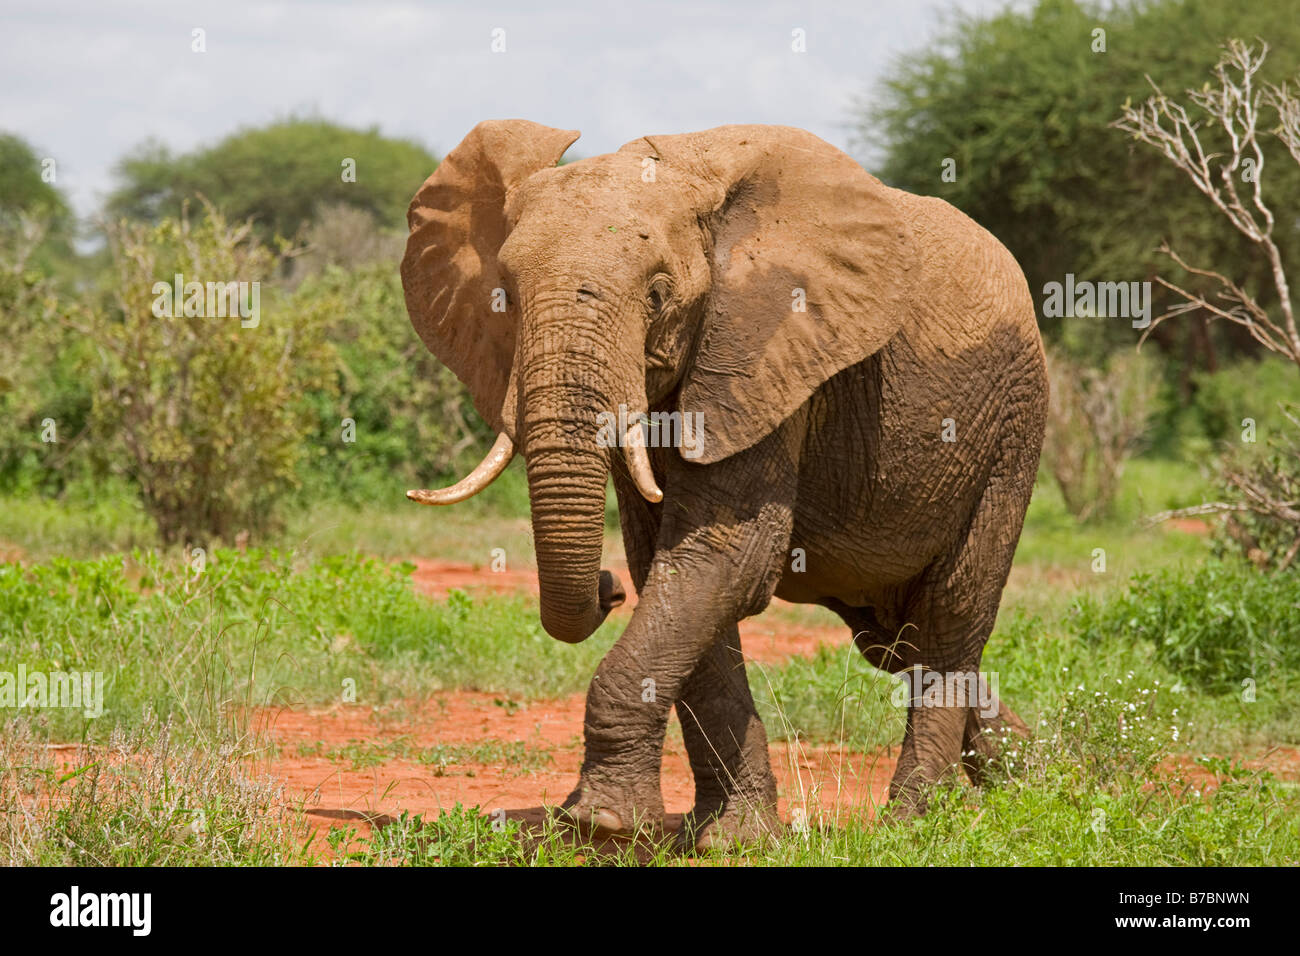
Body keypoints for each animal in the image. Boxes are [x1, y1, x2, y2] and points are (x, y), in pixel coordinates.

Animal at [400, 115, 1050, 848]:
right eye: (504, 295)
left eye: (657, 296)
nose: (604, 589)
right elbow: (673, 570)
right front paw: (734, 838)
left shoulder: (765, 351)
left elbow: (727, 557)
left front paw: (601, 825)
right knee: (894, 641)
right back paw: (1041, 778)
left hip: (1011, 427)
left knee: (949, 616)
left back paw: (912, 824)